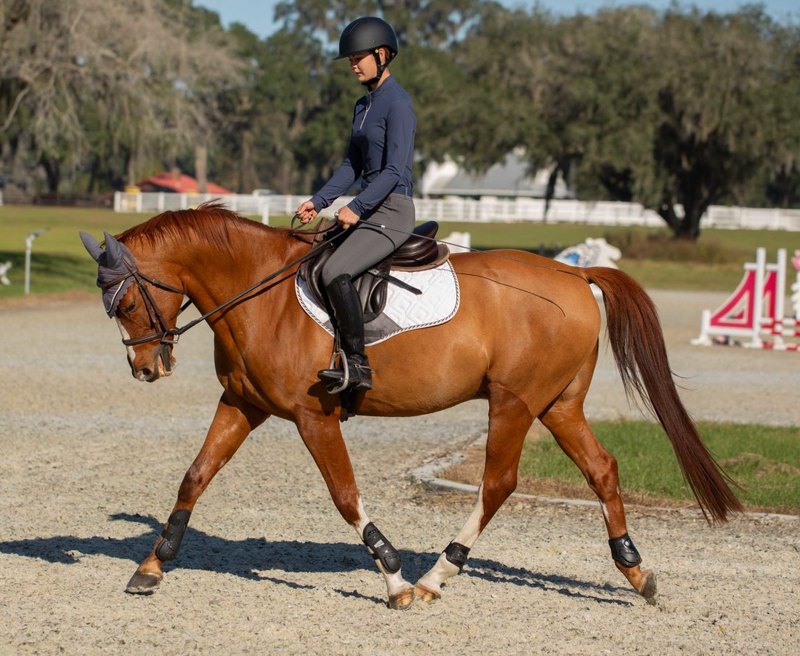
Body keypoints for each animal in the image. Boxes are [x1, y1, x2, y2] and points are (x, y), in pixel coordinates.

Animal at [80, 203, 741, 609]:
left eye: (126, 304)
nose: (146, 369)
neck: (260, 294)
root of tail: (573, 275)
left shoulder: (313, 417)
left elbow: (345, 495)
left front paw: (394, 577)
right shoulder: (242, 403)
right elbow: (195, 476)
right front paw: (152, 566)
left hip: (515, 403)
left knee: (498, 483)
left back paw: (433, 576)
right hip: (558, 405)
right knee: (601, 468)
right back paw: (637, 571)